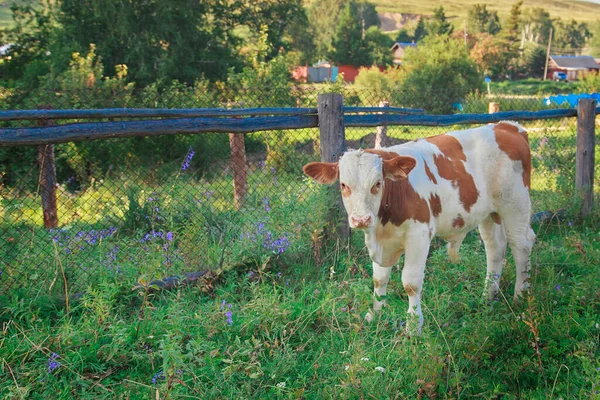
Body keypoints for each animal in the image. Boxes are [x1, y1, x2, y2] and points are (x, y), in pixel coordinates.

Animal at [304, 122, 536, 334]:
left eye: (377, 184)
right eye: (344, 185)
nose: (361, 219)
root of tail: (507, 126)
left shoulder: (418, 236)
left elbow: (411, 283)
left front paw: (413, 326)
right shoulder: (381, 240)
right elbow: (379, 279)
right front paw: (375, 314)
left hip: (515, 204)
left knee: (521, 245)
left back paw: (520, 296)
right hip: (489, 213)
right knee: (495, 248)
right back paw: (487, 296)